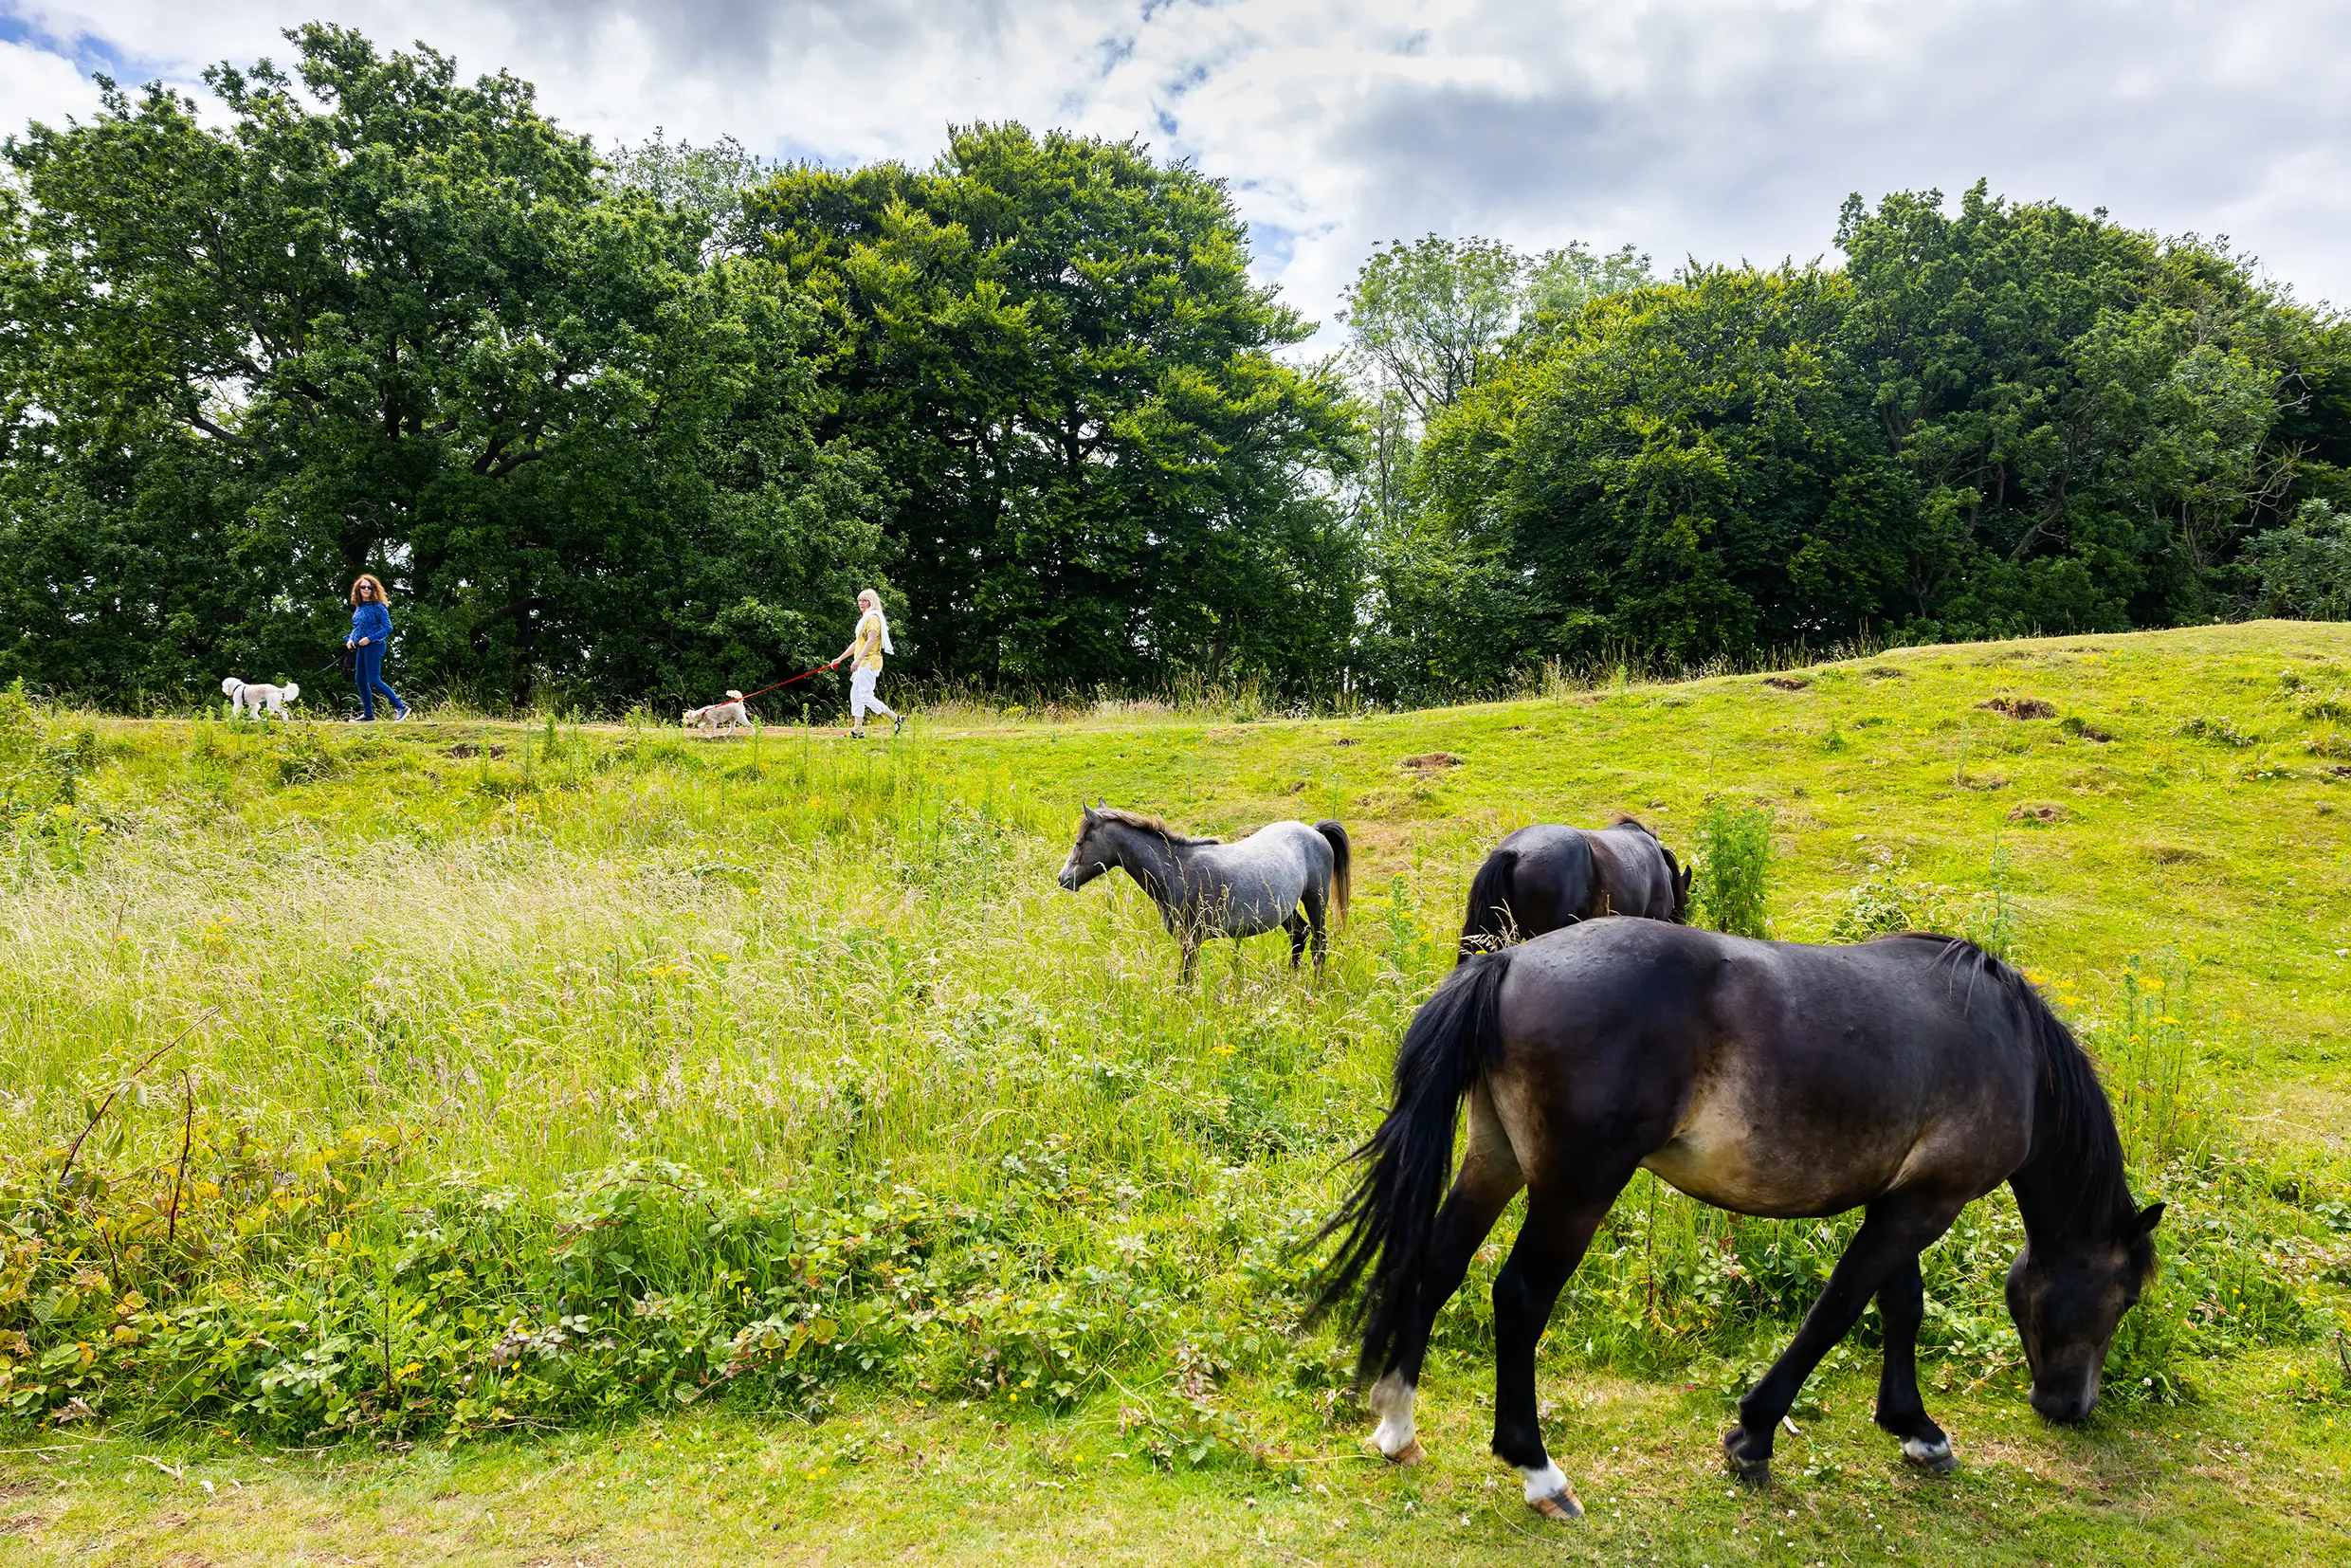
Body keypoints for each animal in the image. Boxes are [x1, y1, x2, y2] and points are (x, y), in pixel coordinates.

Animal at [1058, 809, 1354, 982]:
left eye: (1079, 842)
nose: (1063, 879)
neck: (1178, 868)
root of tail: (1314, 831)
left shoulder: (1190, 941)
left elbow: (1186, 980)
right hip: (1285, 910)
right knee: (1299, 935)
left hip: (1316, 901)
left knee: (1319, 943)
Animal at [1316, 921, 2153, 1522]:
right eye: (2125, 1295)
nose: (2070, 1407)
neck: (2008, 1046)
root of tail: (1512, 963)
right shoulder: (1924, 1205)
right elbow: (1837, 1311)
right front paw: (1753, 1435)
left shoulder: (1902, 1200)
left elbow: (1899, 1308)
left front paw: (1915, 1427)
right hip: (1576, 1190)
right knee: (1519, 1298)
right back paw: (1538, 1472)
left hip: (1495, 1160)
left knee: (1435, 1266)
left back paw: (1396, 1427)